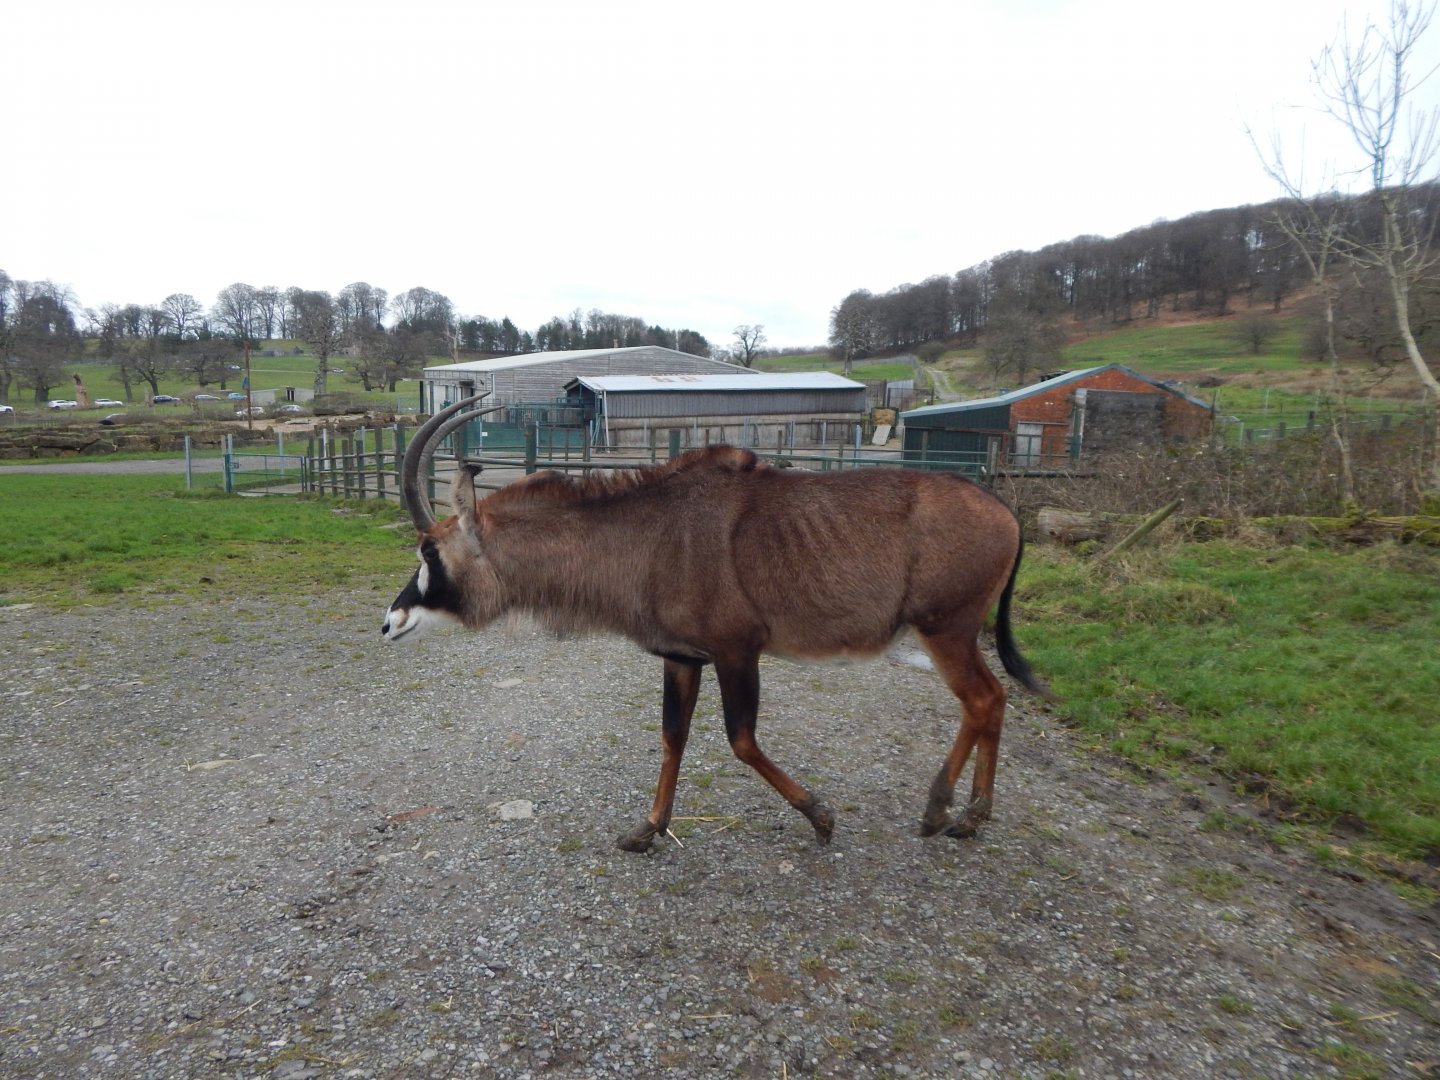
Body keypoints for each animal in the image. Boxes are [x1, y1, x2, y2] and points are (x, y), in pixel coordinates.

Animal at [383, 394, 1048, 852]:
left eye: (429, 551)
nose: (390, 622)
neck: (649, 534)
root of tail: (1003, 510)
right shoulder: (683, 657)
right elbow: (672, 737)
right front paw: (647, 829)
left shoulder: (737, 652)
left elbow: (741, 740)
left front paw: (822, 817)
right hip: (952, 633)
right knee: (991, 700)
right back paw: (967, 817)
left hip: (946, 629)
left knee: (982, 700)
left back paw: (943, 813)